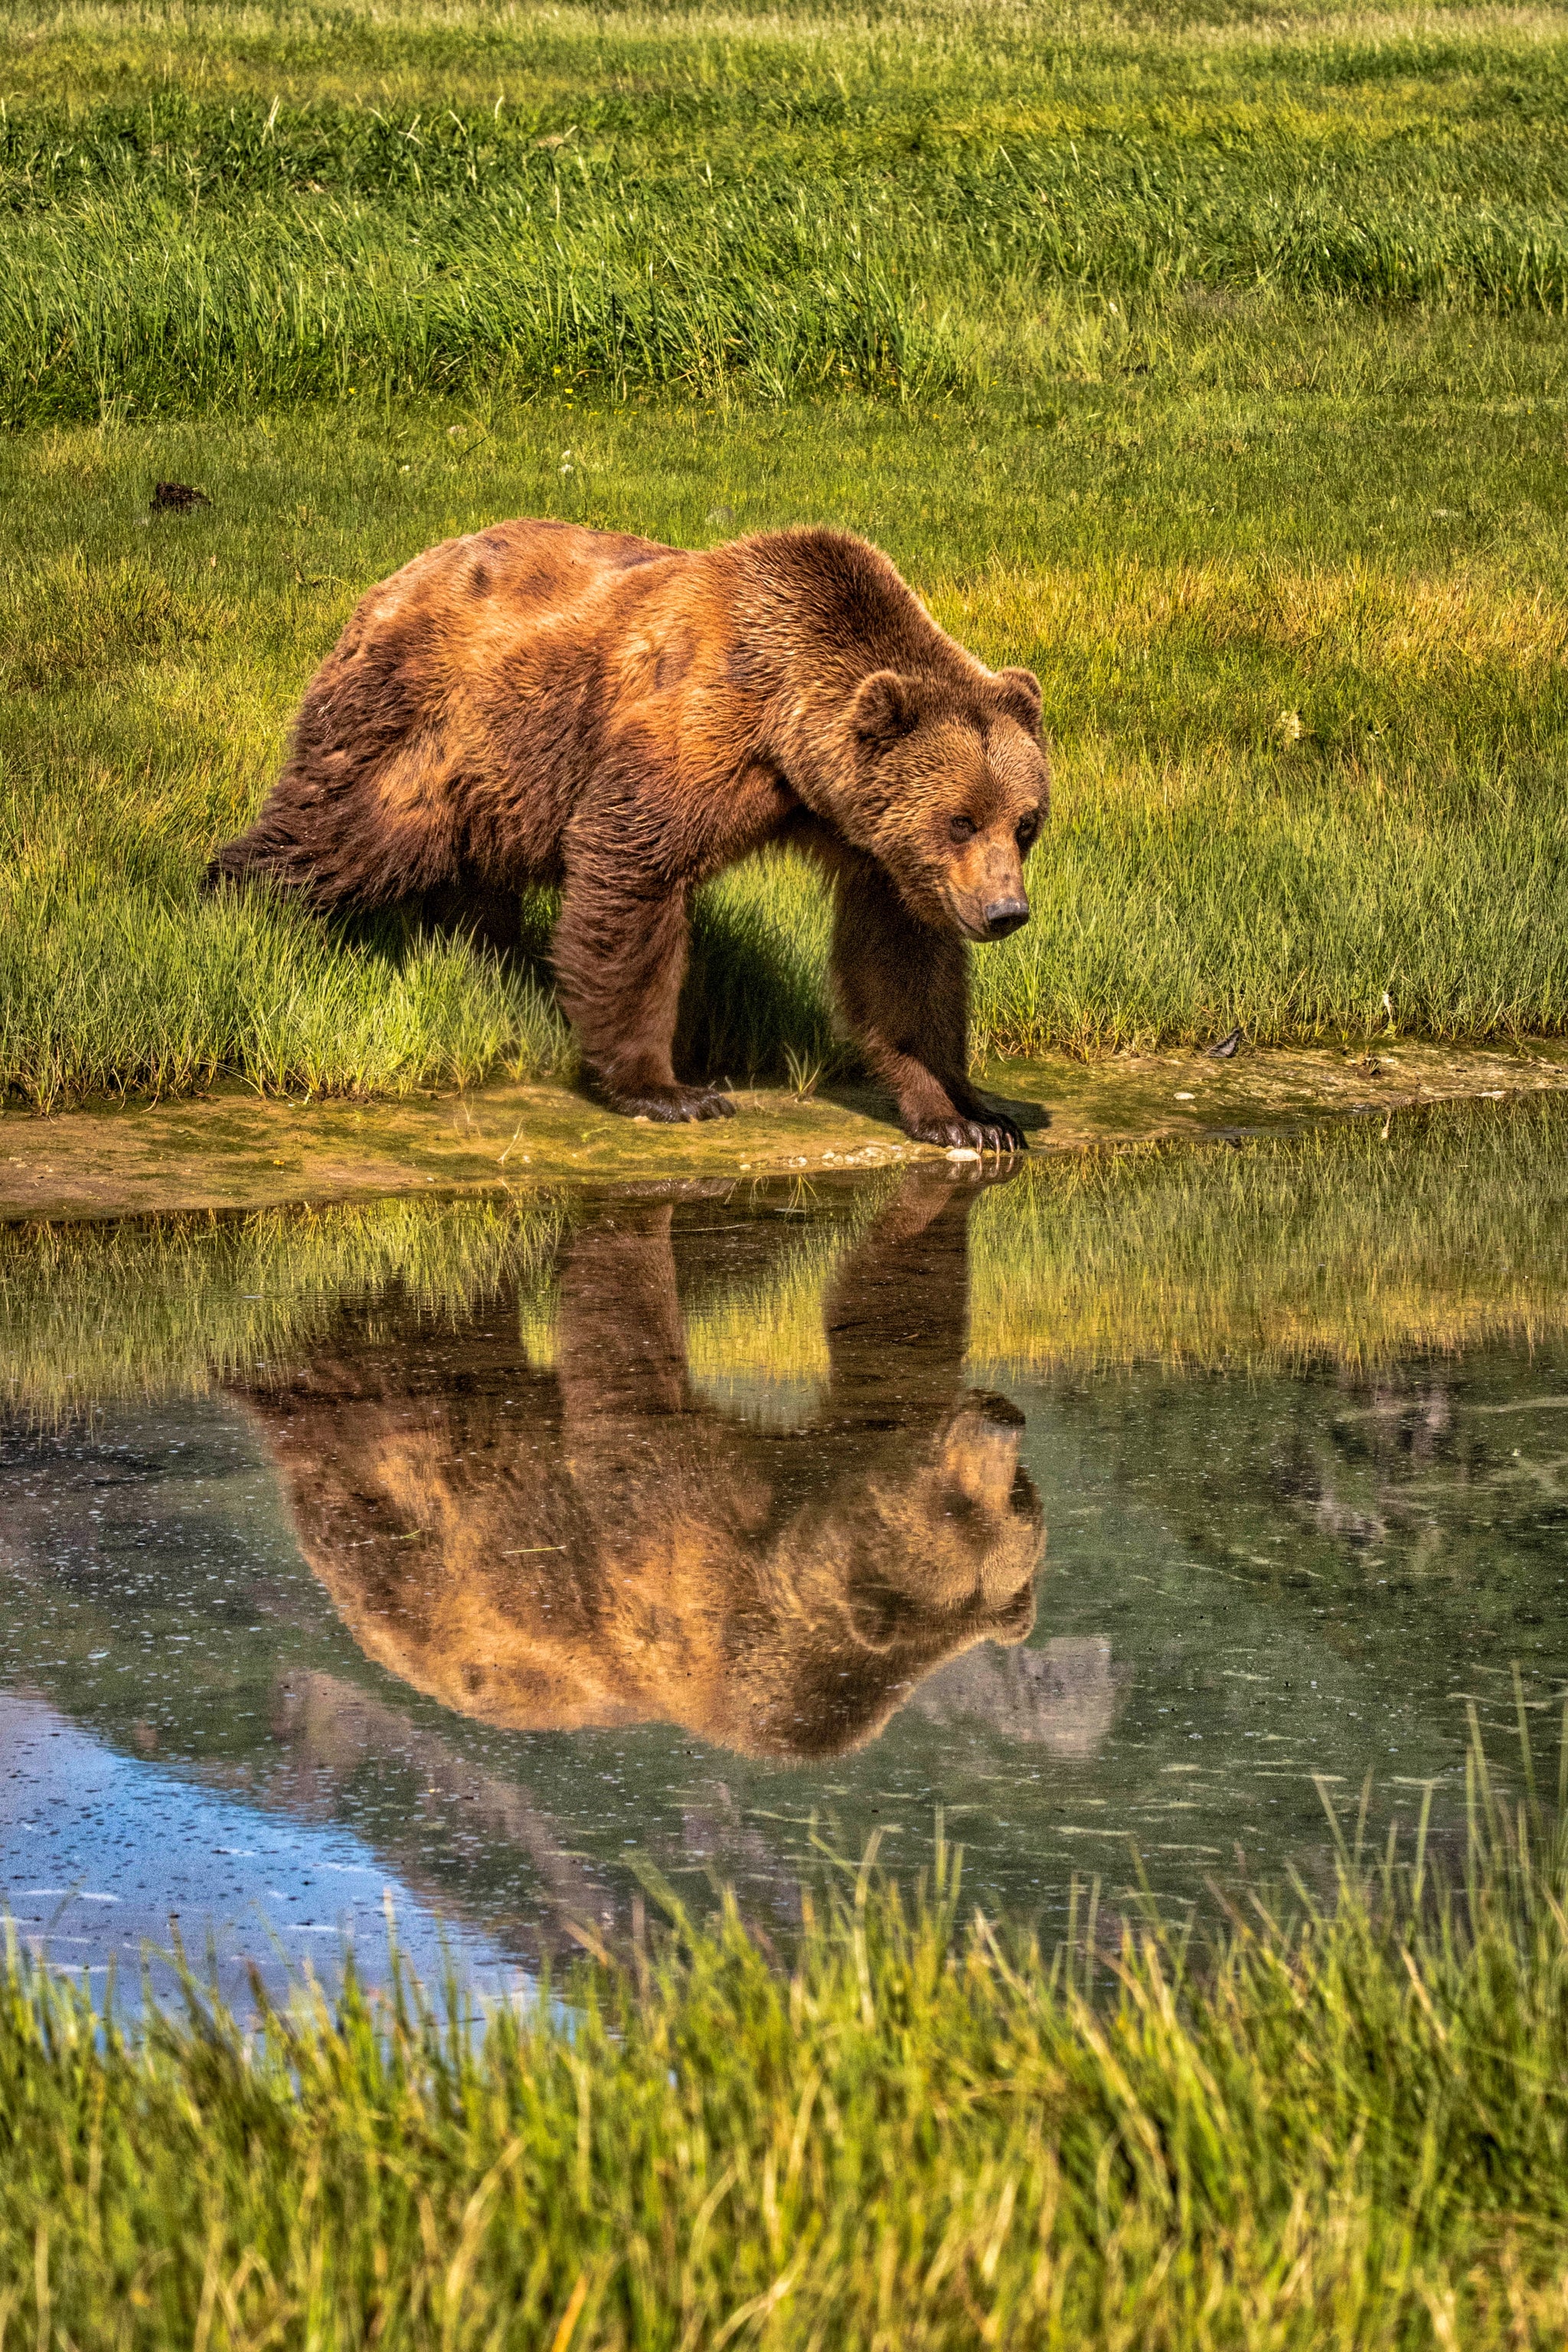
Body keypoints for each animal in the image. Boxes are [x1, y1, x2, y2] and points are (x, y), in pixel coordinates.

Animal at [209, 519, 1049, 1150]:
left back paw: (484, 957)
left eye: (1026, 823)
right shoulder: (701, 729)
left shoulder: (870, 842)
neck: (792, 741)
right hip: (426, 723)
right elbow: (635, 868)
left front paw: (967, 1114)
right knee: (345, 830)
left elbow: (900, 960)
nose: (1005, 912)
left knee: (471, 883)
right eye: (959, 819)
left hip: (498, 777)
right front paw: (669, 1089)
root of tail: (391, 581)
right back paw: (240, 909)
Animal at [230, 1169, 1044, 1762]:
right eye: (959, 1504)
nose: (1002, 1421)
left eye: (1012, 1501)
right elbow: (628, 1393)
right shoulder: (688, 1553)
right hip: (391, 1503)